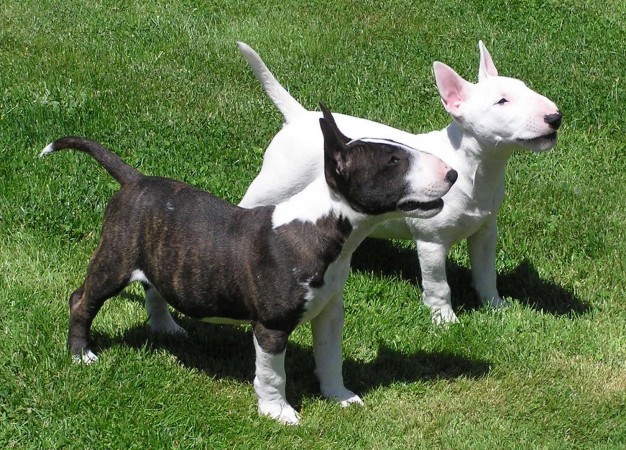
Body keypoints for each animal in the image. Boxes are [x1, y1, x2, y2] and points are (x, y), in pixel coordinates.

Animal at [236, 41, 560, 324]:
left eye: (526, 88)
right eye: (501, 101)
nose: (555, 117)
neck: (474, 167)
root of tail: (299, 117)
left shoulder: (485, 231)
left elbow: (485, 273)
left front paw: (496, 307)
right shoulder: (430, 241)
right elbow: (439, 286)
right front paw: (445, 321)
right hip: (272, 185)